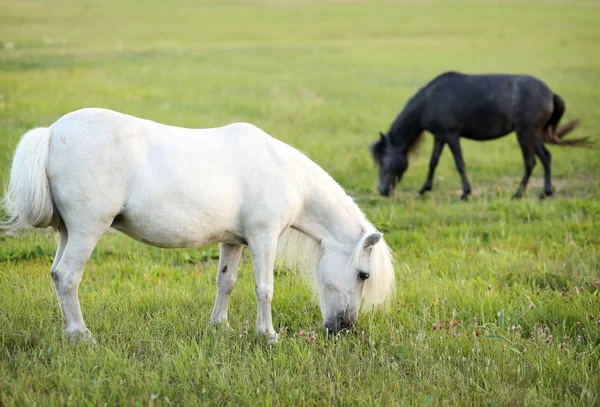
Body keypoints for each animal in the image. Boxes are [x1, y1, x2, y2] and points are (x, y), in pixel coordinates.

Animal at [2, 109, 396, 344]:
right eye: (363, 274)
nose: (344, 327)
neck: (284, 174)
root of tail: (51, 133)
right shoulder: (264, 239)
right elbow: (264, 288)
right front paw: (267, 334)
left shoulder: (233, 242)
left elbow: (226, 282)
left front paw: (220, 325)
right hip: (87, 231)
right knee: (69, 276)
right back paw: (80, 334)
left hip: (67, 232)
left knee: (56, 274)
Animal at [370, 73, 592, 202]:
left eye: (383, 161)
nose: (382, 190)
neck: (428, 101)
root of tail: (551, 94)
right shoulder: (440, 137)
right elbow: (433, 163)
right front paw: (424, 190)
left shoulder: (451, 135)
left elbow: (459, 164)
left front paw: (465, 193)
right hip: (534, 134)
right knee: (546, 158)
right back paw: (545, 193)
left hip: (524, 133)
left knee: (530, 162)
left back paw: (518, 194)